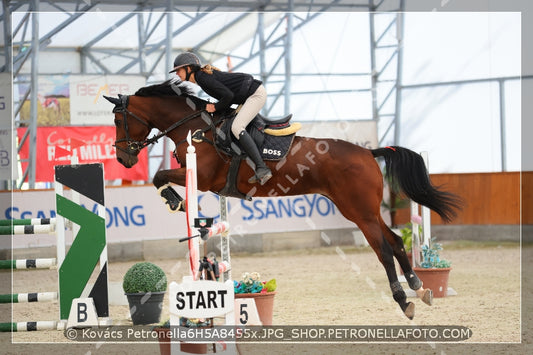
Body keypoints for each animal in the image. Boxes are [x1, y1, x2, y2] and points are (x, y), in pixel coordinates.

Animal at [104, 79, 462, 322]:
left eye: (118, 120)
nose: (122, 158)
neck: (193, 126)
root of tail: (368, 152)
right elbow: (160, 177)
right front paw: (176, 200)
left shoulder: (202, 178)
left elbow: (159, 176)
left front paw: (174, 199)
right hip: (365, 211)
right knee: (397, 243)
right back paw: (420, 288)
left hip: (359, 212)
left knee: (384, 251)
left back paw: (405, 300)